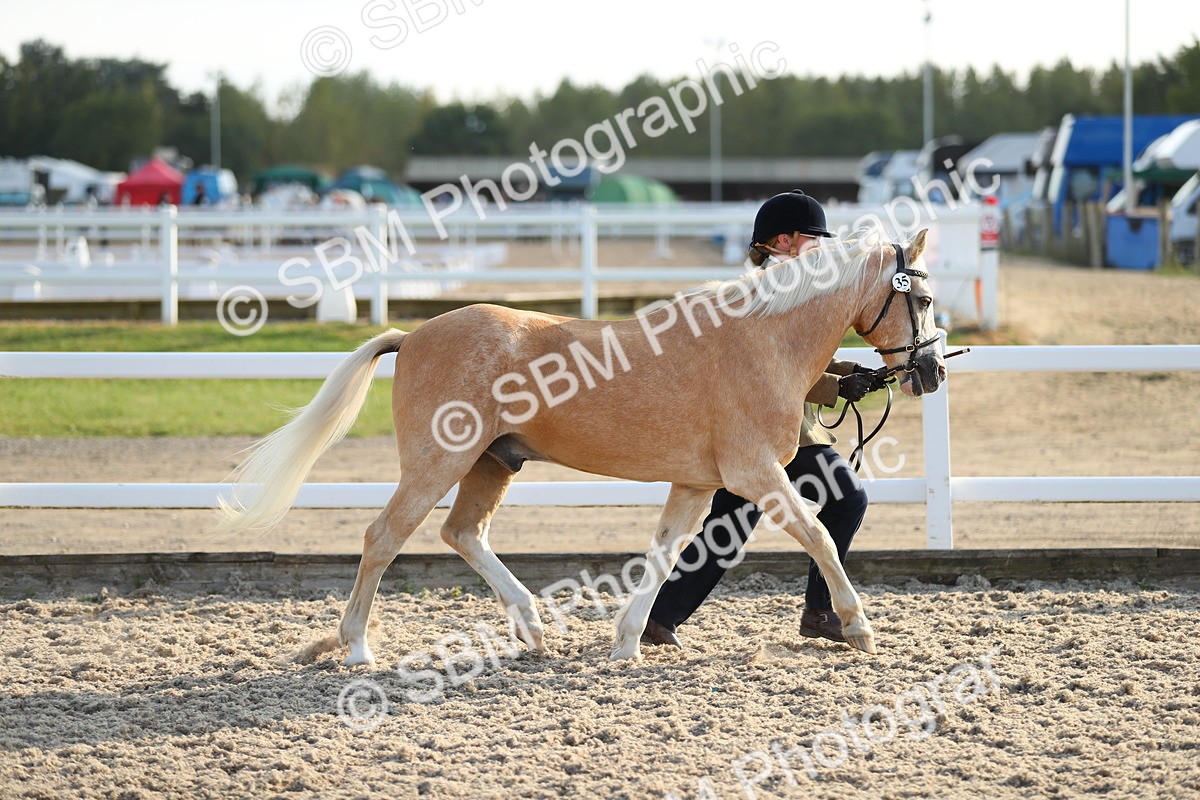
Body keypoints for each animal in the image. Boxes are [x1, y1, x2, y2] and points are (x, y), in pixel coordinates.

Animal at [217, 228, 945, 665]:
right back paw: (358, 649)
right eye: (925, 299)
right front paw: (858, 627)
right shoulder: (757, 475)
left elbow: (665, 552)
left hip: (492, 464)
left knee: (462, 533)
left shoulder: (698, 484)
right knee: (383, 537)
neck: (761, 341)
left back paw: (532, 627)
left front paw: (628, 643)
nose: (932, 371)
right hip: (436, 463)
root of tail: (413, 335)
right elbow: (820, 537)